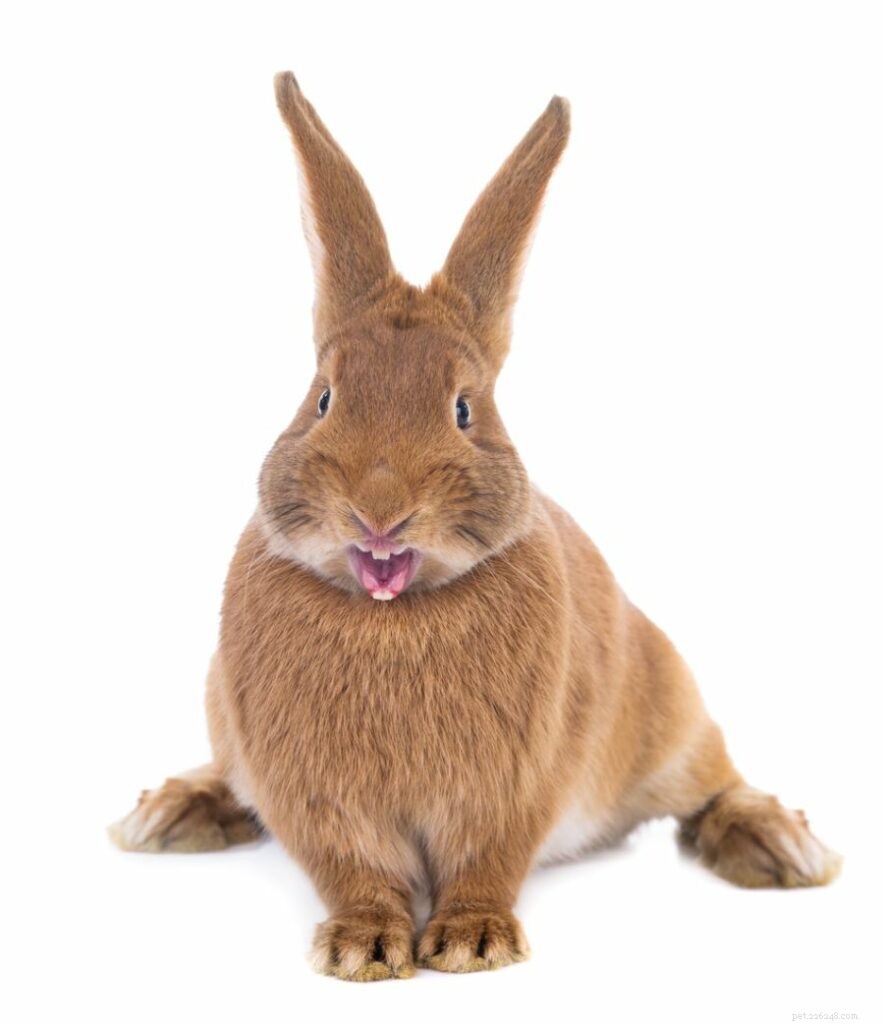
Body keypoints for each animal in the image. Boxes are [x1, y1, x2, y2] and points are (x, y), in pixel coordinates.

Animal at [109, 71, 841, 981]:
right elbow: (354, 871)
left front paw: (471, 942)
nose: (380, 509)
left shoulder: (514, 786)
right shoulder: (318, 800)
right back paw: (172, 813)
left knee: (711, 781)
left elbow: (486, 861)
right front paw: (362, 948)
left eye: (464, 409)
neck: (391, 614)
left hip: (670, 710)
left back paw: (781, 848)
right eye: (323, 398)